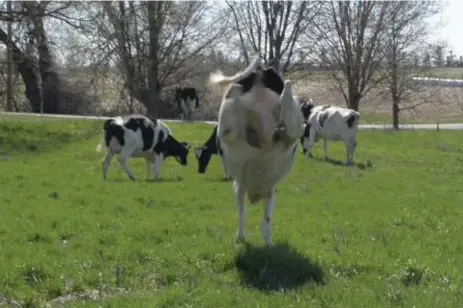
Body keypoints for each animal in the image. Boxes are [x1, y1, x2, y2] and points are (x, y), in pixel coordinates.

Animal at [209, 57, 304, 245]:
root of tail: (260, 72)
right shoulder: (249, 189)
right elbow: (255, 218)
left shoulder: (244, 188)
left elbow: (250, 216)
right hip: (290, 130)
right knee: (288, 102)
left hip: (229, 128)